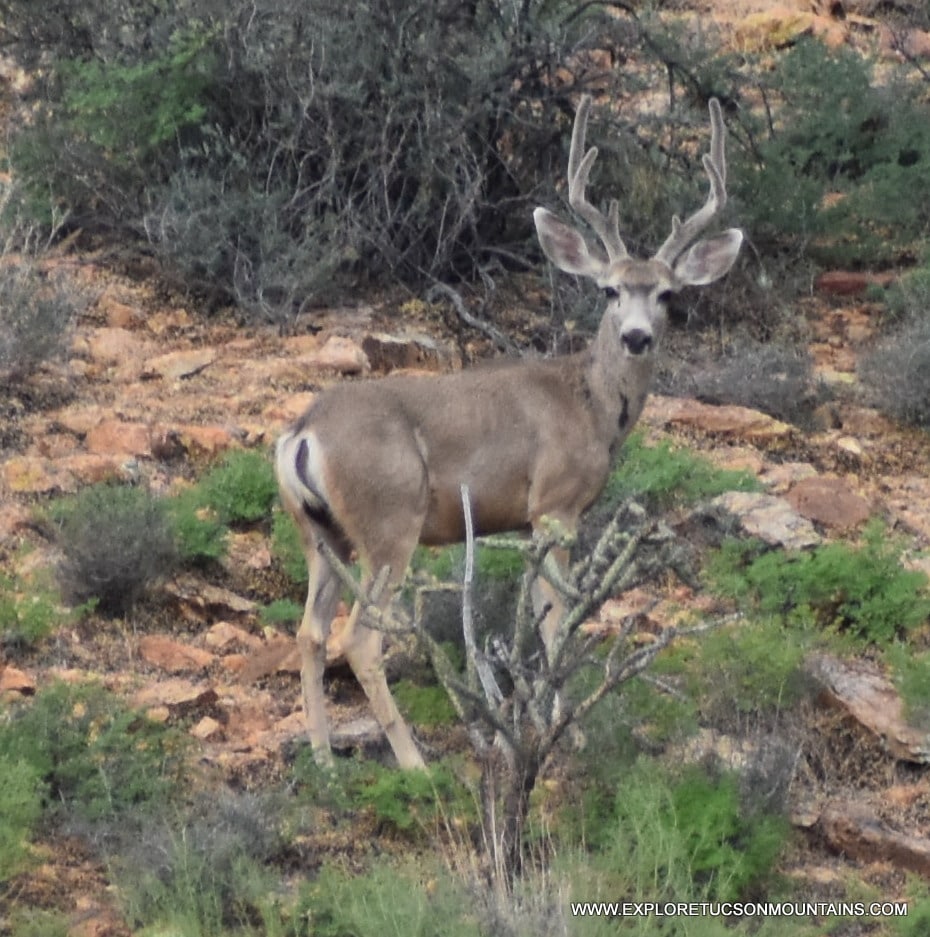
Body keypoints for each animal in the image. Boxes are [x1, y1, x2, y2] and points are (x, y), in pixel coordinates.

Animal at [274, 93, 740, 768]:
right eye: (609, 289)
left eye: (669, 295)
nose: (636, 336)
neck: (589, 405)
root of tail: (303, 433)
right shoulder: (555, 505)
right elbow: (558, 617)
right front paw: (568, 731)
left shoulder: (525, 521)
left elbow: (535, 617)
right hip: (389, 520)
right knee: (359, 638)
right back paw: (416, 765)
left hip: (320, 531)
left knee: (309, 632)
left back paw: (324, 762)